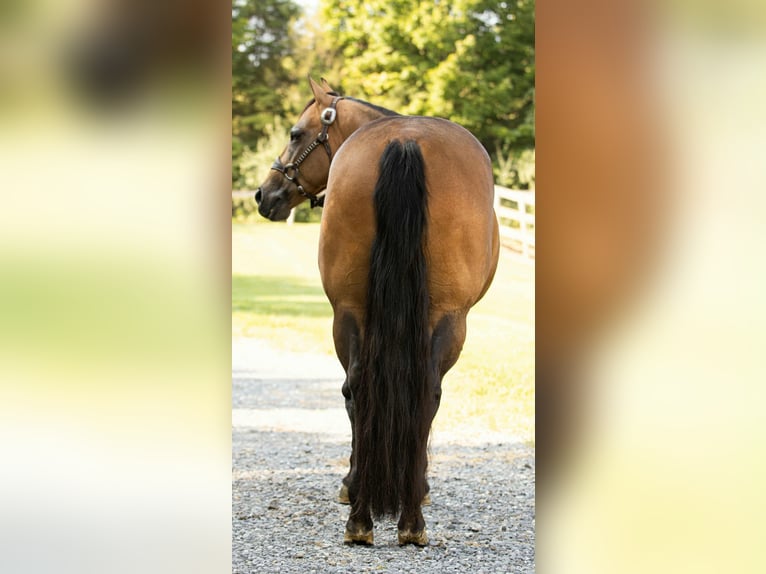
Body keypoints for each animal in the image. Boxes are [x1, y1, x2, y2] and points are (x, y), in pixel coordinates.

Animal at [255, 77, 500, 546]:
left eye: (295, 133)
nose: (264, 194)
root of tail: (405, 140)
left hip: (351, 313)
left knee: (364, 389)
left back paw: (368, 518)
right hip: (444, 320)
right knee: (415, 393)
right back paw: (404, 518)